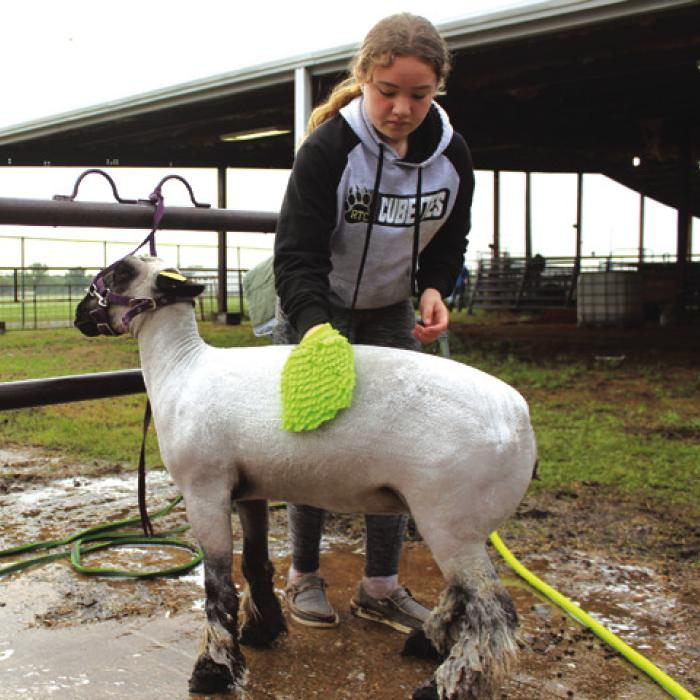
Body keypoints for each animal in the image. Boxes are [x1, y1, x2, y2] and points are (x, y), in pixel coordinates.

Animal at [74, 254, 537, 700]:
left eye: (119, 273)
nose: (79, 315)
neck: (181, 369)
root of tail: (522, 419)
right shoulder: (249, 489)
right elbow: (255, 563)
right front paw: (261, 631)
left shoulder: (204, 490)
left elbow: (217, 586)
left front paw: (214, 670)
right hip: (459, 524)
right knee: (462, 596)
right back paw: (426, 643)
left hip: (449, 517)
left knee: (493, 610)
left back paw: (443, 685)